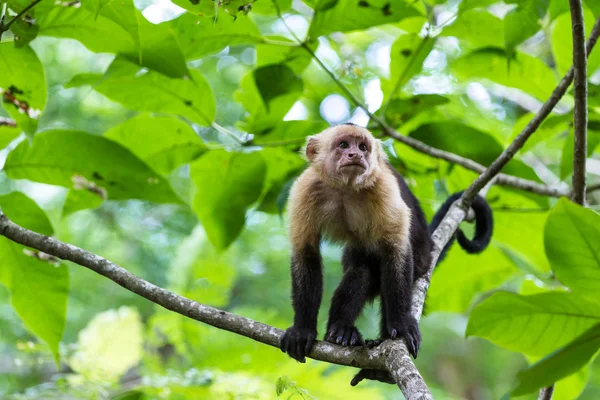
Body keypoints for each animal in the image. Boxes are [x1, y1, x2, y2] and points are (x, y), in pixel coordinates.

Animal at [278, 123, 490, 382]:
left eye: (363, 147)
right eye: (343, 145)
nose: (355, 155)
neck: (345, 189)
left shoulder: (383, 188)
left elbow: (396, 252)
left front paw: (401, 325)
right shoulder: (305, 189)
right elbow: (306, 254)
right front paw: (302, 330)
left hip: (421, 259)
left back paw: (376, 349)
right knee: (361, 270)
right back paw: (341, 331)